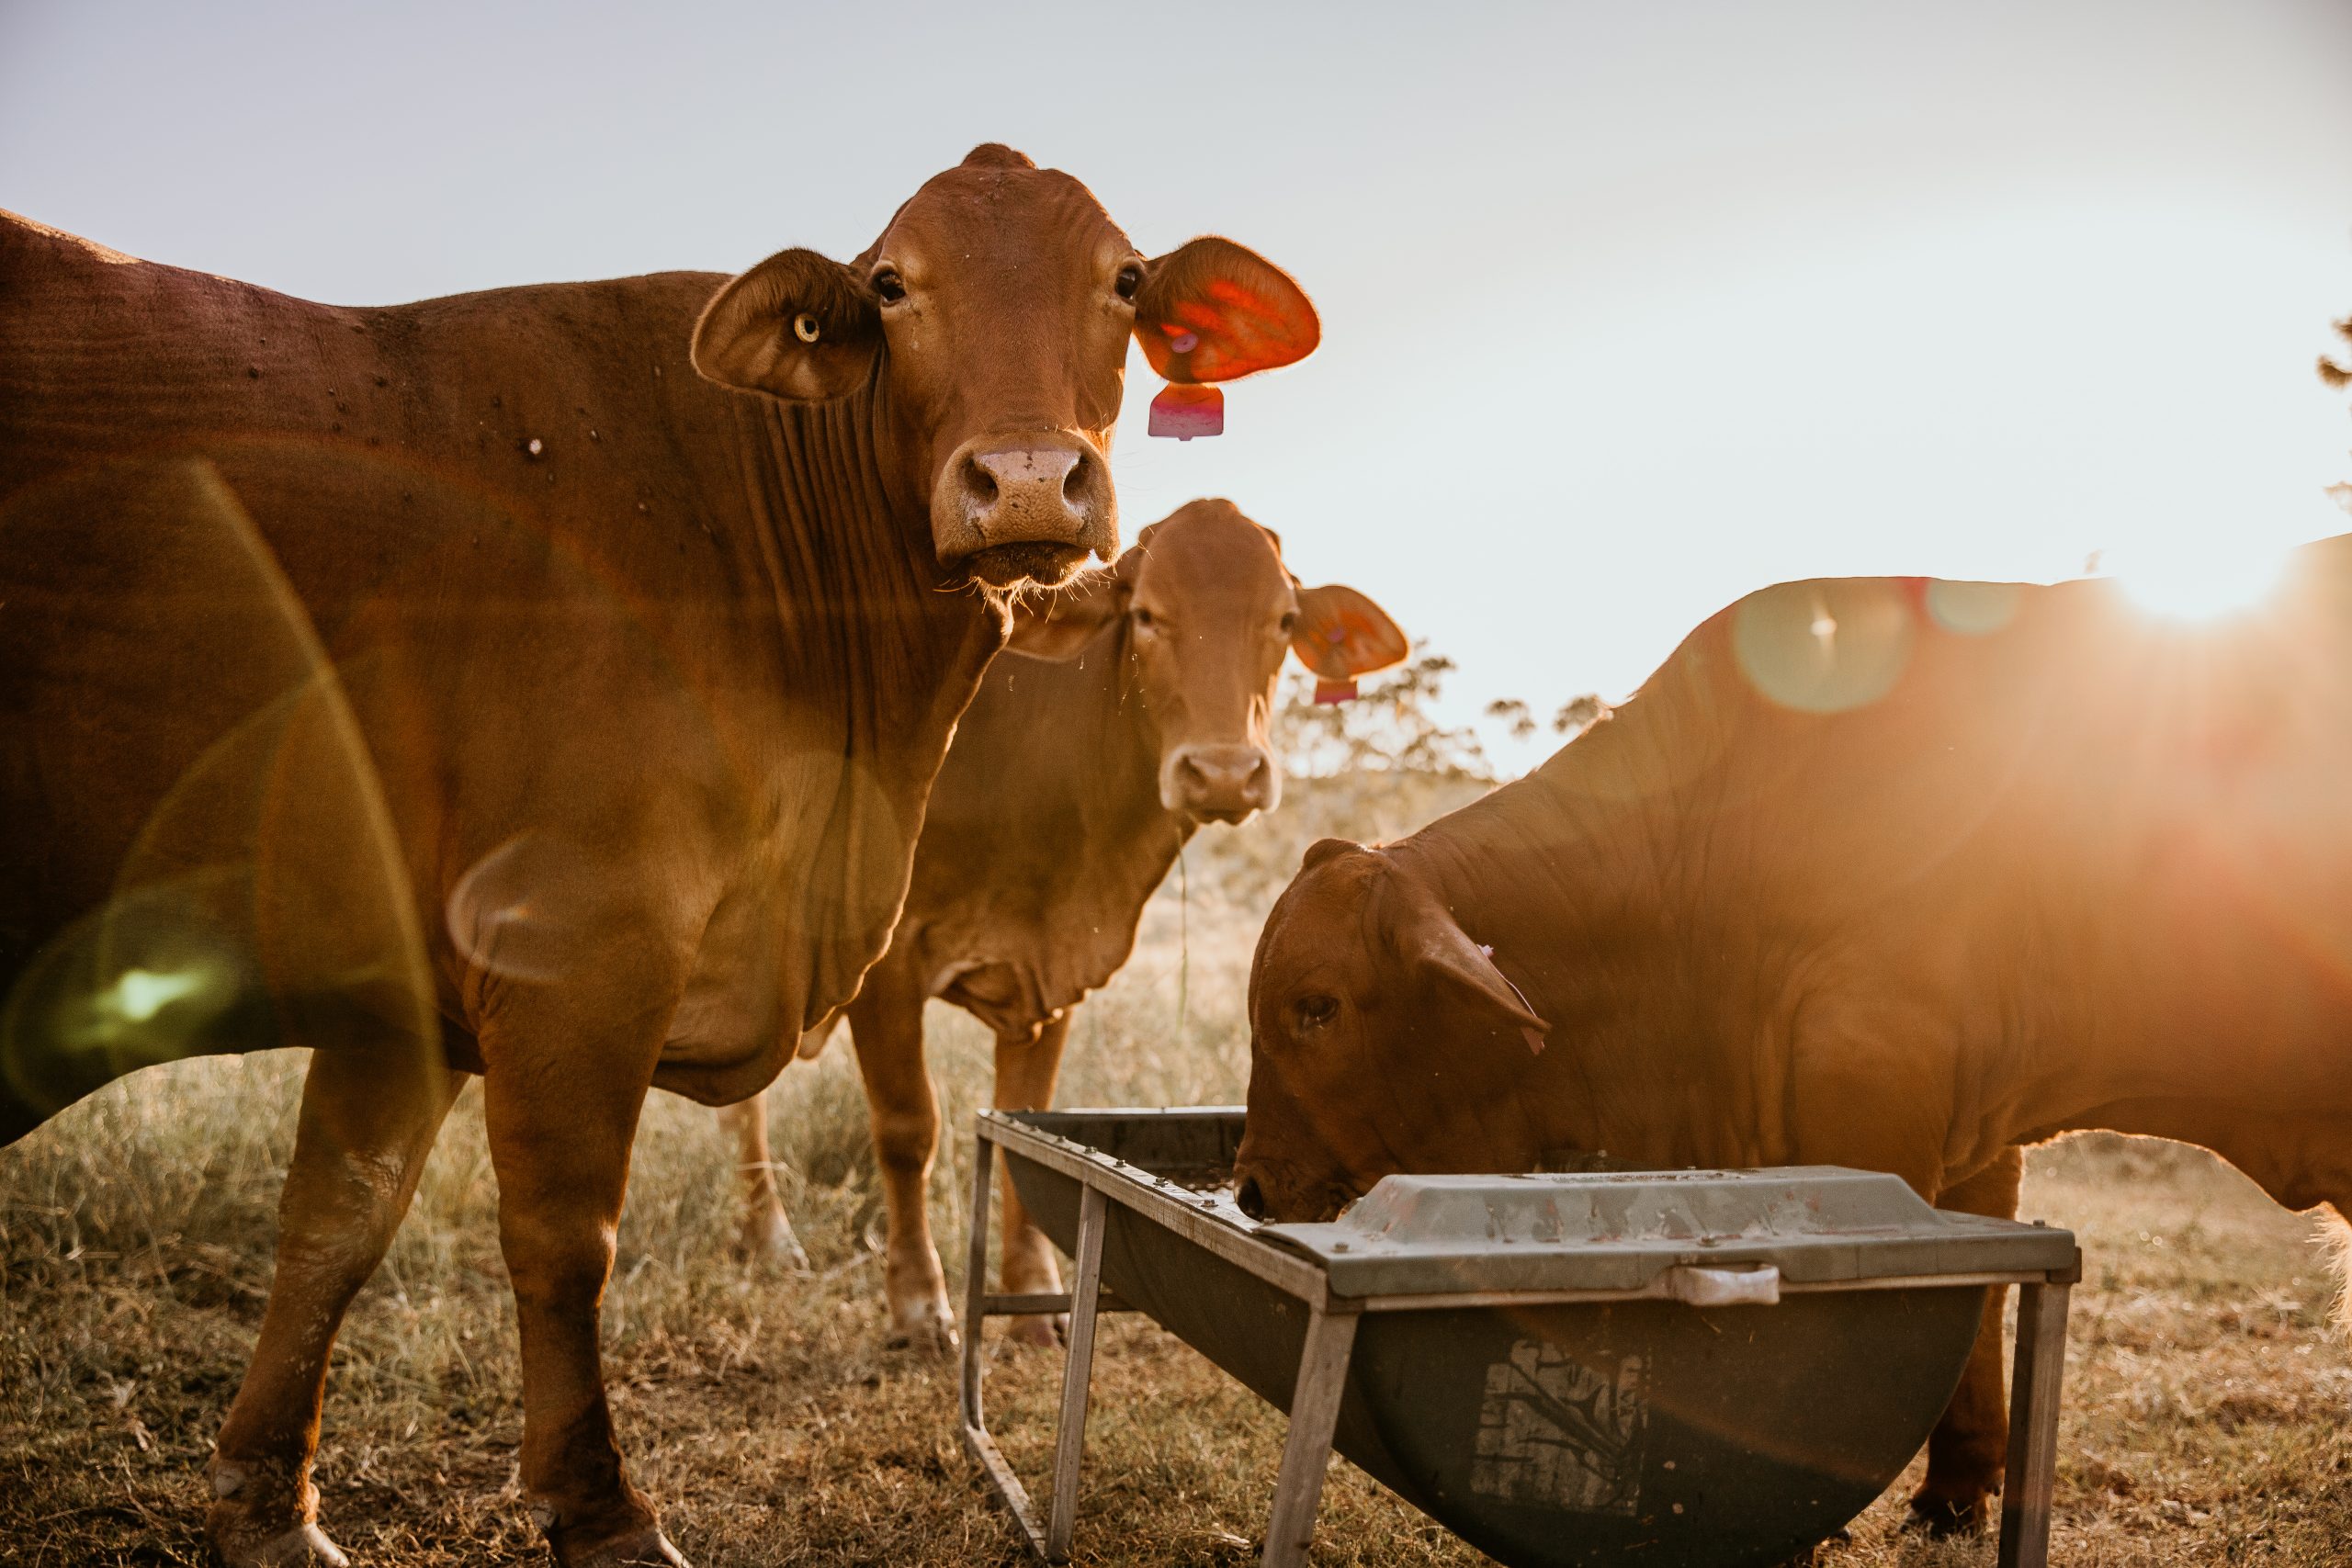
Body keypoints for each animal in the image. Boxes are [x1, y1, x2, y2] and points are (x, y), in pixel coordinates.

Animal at [0, 141, 1326, 1561]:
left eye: (1125, 281)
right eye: (891, 284)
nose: (1026, 479)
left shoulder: (402, 986)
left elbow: (335, 1222)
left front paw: (265, 1505)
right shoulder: (583, 950)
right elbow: (574, 1233)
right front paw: (602, 1505)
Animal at [715, 501, 1401, 1354]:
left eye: (1281, 620)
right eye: (1147, 616)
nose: (1223, 772)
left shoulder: (1052, 971)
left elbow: (1023, 1124)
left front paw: (1032, 1296)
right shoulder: (887, 964)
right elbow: (909, 1130)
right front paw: (919, 1303)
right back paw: (772, 1236)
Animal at [1223, 536, 2352, 1532]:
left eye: (1317, 1006)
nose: (1251, 1189)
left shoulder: (1876, 1101)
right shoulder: (1975, 1137)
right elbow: (1983, 1291)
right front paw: (1952, 1492)